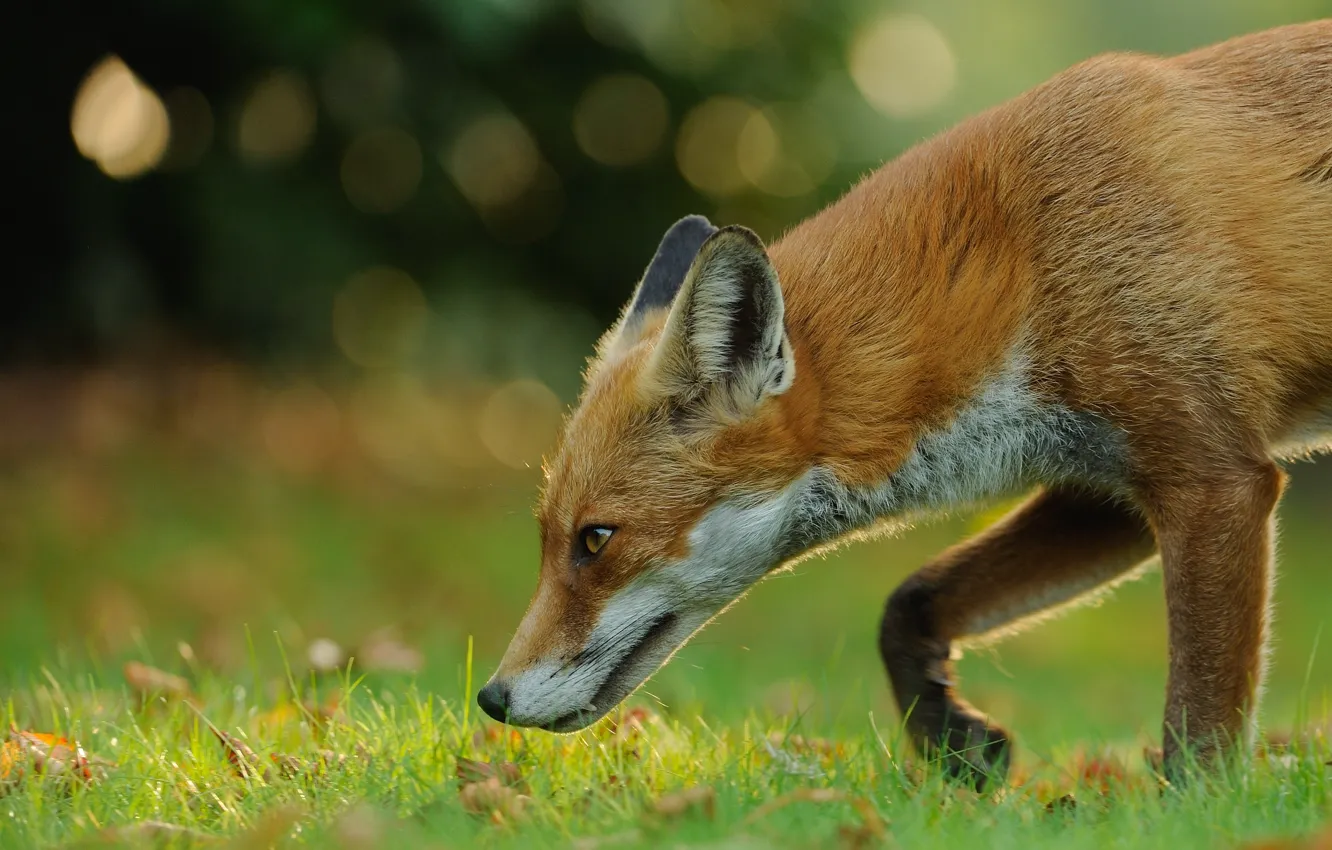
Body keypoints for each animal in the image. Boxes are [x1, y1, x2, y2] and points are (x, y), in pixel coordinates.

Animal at [477, 21, 1332, 786]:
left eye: (595, 540)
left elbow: (1199, 729)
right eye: (548, 537)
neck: (1022, 261)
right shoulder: (1109, 492)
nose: (491, 698)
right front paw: (954, 743)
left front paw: (1195, 807)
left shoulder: (1214, 482)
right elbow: (907, 602)